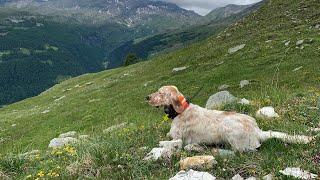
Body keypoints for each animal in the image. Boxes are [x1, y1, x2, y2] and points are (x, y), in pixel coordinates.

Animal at [146, 86, 314, 152]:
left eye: (161, 93)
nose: (147, 97)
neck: (180, 111)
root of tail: (258, 131)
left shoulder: (179, 139)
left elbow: (169, 142)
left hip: (230, 132)